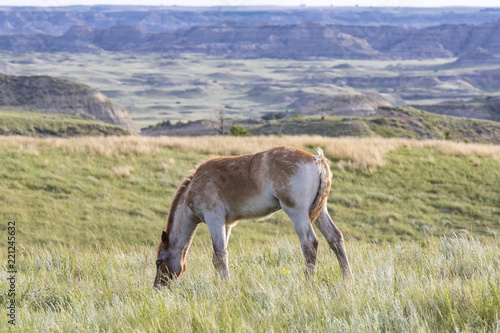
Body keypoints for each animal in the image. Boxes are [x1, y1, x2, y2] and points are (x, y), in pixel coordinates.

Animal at [152, 147, 352, 286]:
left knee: (309, 244)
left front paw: (224, 286)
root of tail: (316, 159)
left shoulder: (213, 219)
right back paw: (347, 279)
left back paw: (308, 283)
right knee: (335, 238)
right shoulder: (226, 224)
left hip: (298, 213)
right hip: (320, 212)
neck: (194, 187)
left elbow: (219, 254)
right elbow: (218, 257)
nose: (157, 288)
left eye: (158, 262)